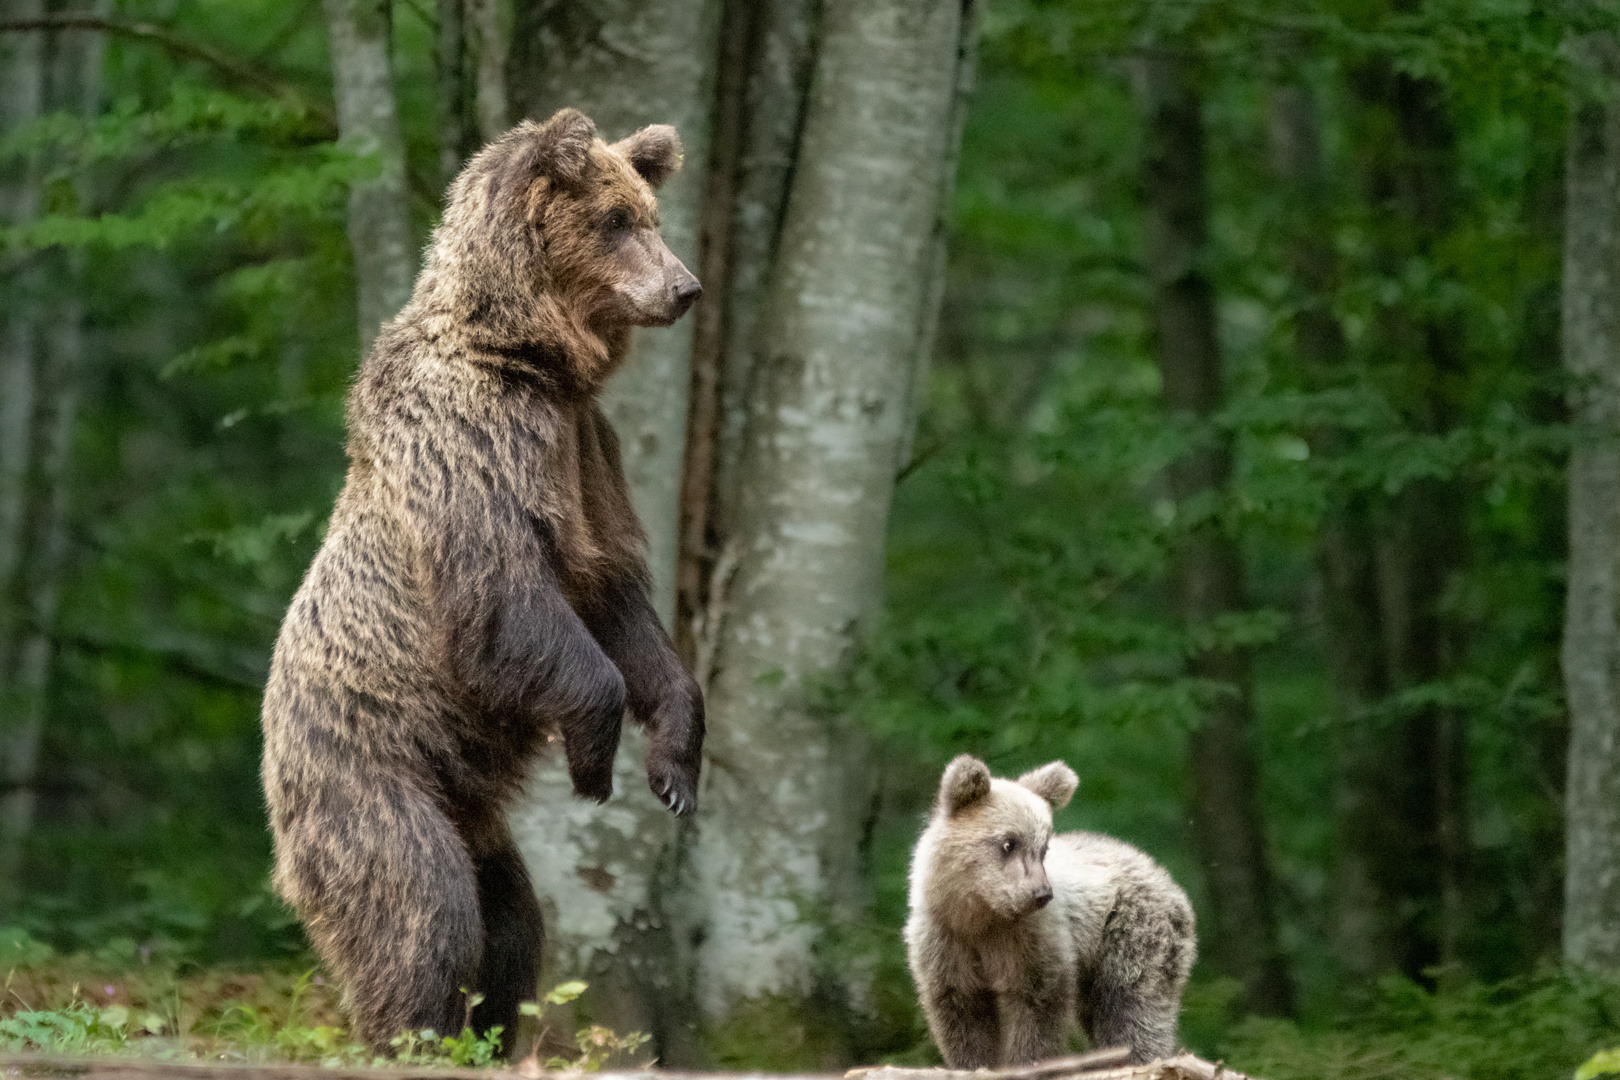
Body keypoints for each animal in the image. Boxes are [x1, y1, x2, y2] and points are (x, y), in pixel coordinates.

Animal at [259, 107, 703, 1055]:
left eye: (650, 212)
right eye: (617, 219)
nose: (684, 287)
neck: (531, 357)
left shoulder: (588, 458)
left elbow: (621, 604)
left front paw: (674, 768)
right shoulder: (478, 449)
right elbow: (509, 600)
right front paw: (594, 765)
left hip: (476, 816)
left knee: (512, 924)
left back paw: (492, 1031)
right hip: (374, 776)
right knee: (422, 907)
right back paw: (414, 1032)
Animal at [907, 757, 1198, 1068]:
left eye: (1043, 848)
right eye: (1008, 843)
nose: (1041, 893)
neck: (980, 917)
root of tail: (1165, 877)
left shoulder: (1032, 942)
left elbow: (1038, 1009)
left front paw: (1028, 1062)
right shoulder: (947, 943)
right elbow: (962, 1016)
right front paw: (976, 1063)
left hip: (1131, 931)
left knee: (1132, 1005)